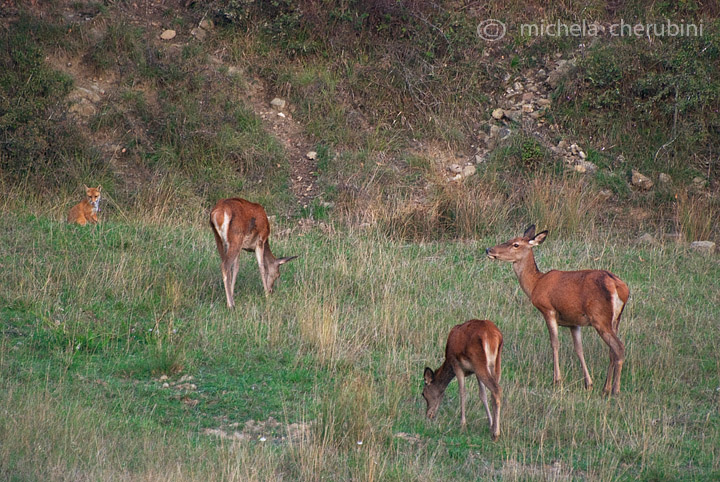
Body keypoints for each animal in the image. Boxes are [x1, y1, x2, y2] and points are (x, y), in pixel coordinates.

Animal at [484, 226, 632, 396]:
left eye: (515, 244)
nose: (489, 249)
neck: (536, 284)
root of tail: (619, 287)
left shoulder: (548, 309)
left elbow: (554, 343)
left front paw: (557, 380)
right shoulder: (574, 322)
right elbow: (579, 349)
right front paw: (588, 383)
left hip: (599, 317)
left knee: (619, 347)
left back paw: (615, 389)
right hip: (615, 319)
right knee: (612, 351)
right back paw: (605, 388)